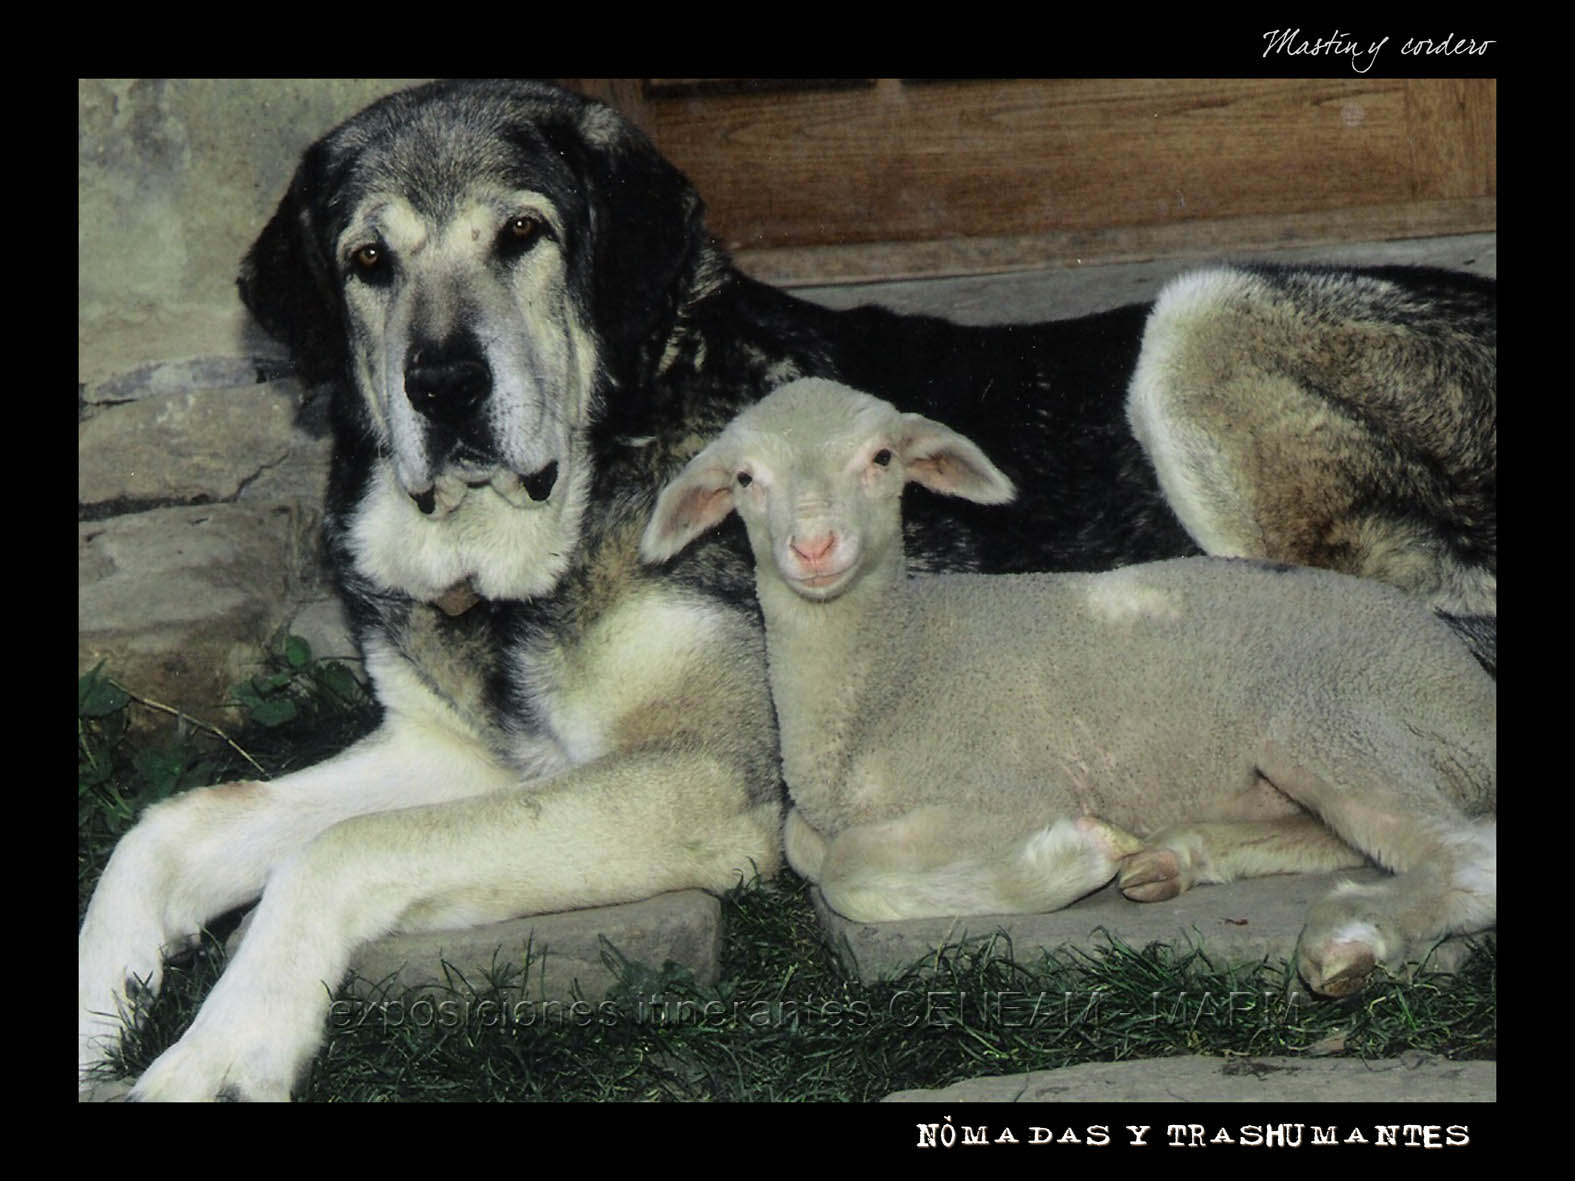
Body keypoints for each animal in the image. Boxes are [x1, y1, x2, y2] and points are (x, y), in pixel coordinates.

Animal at [642, 381, 1499, 1001]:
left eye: (881, 457)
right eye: (745, 478)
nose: (814, 547)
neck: (895, 664)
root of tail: (1471, 686)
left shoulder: (1007, 787)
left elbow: (846, 871)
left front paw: (1071, 855)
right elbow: (804, 845)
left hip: (1335, 713)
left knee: (1463, 852)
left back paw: (1351, 939)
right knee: (1348, 835)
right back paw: (1170, 859)